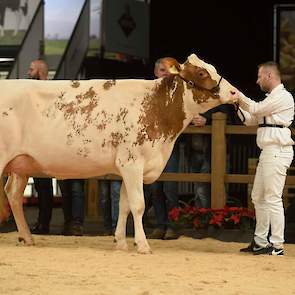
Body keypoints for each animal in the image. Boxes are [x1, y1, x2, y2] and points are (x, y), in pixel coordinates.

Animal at [0, 54, 237, 253]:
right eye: (201, 73)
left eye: (212, 68)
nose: (234, 92)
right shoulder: (132, 163)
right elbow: (138, 205)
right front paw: (142, 245)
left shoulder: (127, 168)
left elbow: (124, 206)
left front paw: (121, 242)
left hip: (21, 166)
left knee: (13, 194)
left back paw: (27, 237)